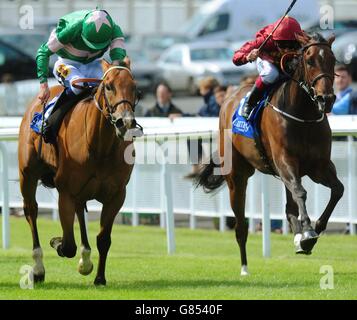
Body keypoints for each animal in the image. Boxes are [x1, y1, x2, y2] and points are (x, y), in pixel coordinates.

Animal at [18, 60, 138, 284]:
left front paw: (99, 277)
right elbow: (68, 246)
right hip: (27, 174)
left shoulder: (117, 195)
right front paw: (57, 242)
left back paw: (85, 257)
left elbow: (103, 239)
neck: (100, 147)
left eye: (135, 87)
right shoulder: (66, 192)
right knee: (31, 211)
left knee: (80, 211)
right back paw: (38, 269)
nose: (125, 122)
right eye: (109, 86)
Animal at [195, 33, 342, 276]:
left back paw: (298, 238)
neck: (303, 116)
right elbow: (301, 192)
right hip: (237, 177)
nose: (326, 99)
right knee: (241, 225)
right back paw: (245, 267)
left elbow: (338, 190)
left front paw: (315, 229)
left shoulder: (318, 167)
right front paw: (309, 233)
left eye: (333, 59)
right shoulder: (285, 162)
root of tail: (229, 98)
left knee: (290, 206)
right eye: (309, 60)